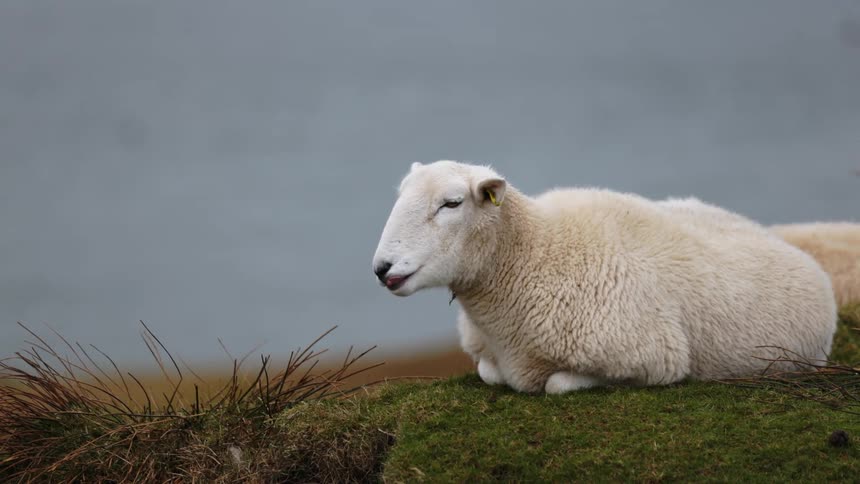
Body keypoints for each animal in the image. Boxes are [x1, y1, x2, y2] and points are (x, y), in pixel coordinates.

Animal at [372, 161, 837, 394]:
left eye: (451, 204)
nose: (382, 269)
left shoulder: (655, 357)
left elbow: (558, 384)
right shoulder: (488, 352)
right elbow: (490, 373)